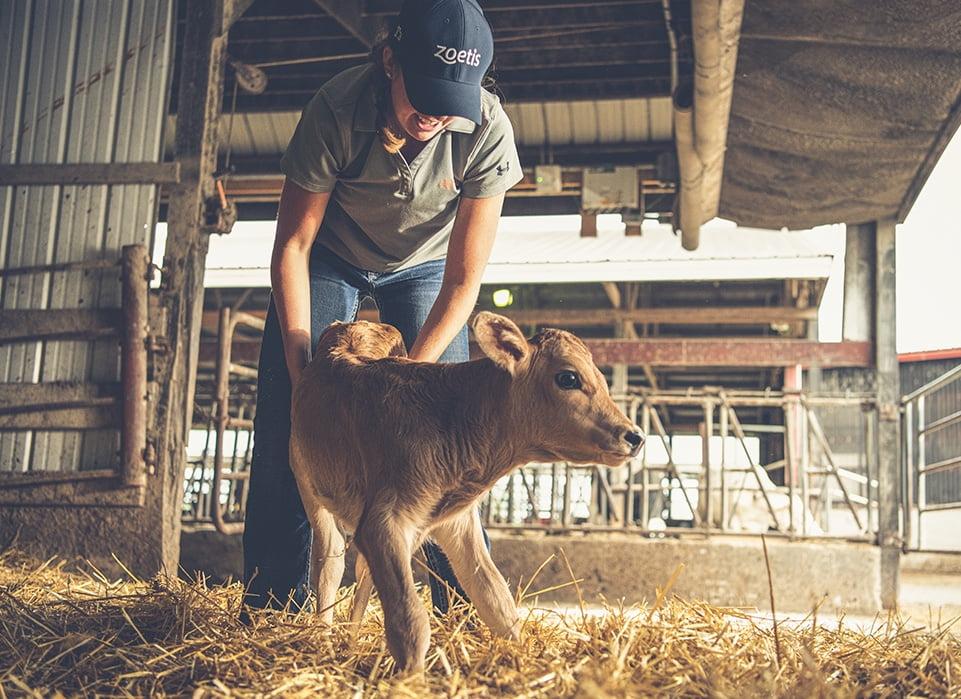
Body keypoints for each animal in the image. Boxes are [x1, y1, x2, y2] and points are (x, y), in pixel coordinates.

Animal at [289, 311, 644, 672]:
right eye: (568, 378)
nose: (635, 436)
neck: (451, 419)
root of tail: (353, 325)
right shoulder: (383, 522)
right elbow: (409, 619)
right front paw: (411, 678)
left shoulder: (455, 524)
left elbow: (495, 598)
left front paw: (521, 658)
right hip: (307, 483)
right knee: (330, 561)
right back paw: (323, 637)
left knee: (362, 571)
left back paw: (350, 640)